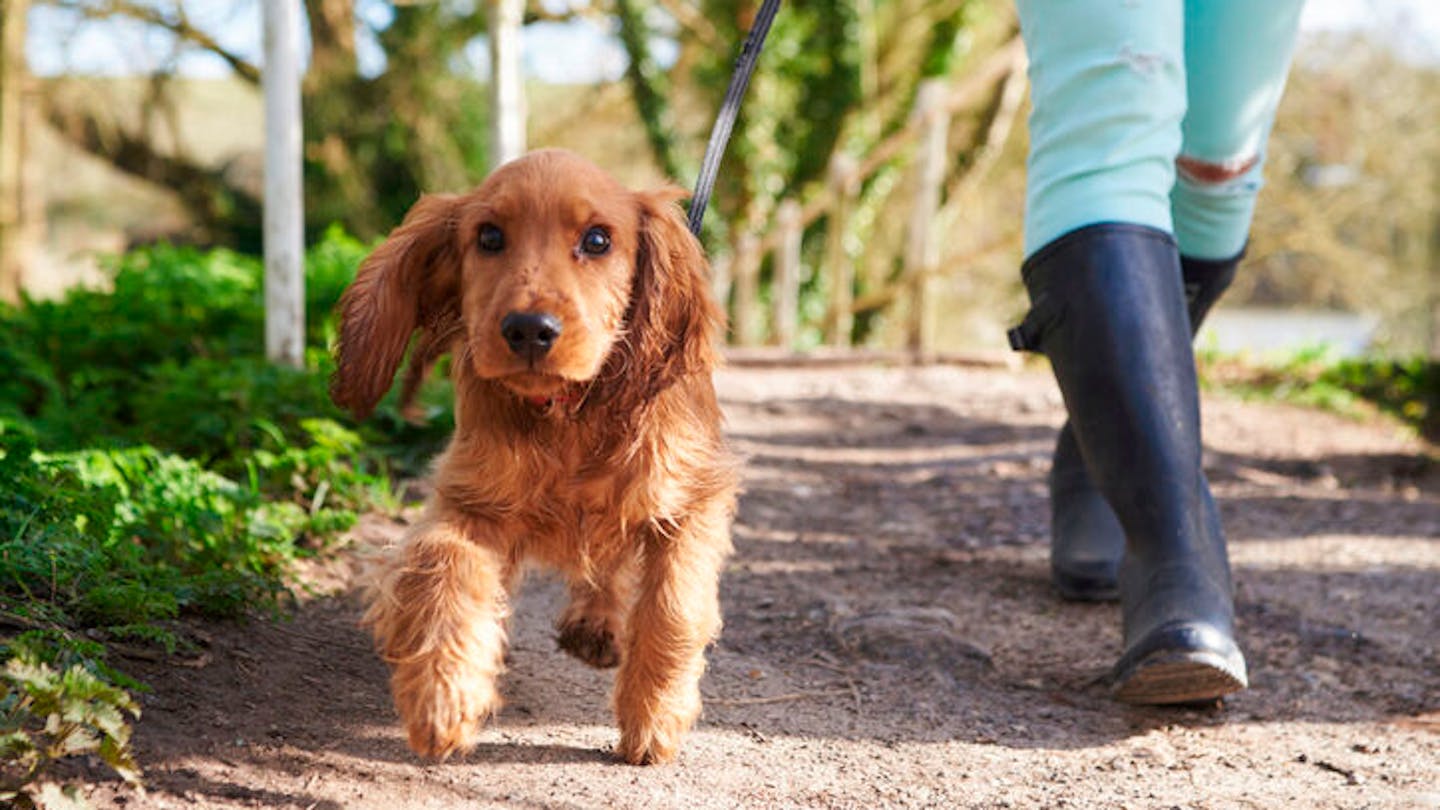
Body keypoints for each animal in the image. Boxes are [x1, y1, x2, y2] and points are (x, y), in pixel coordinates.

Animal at [329, 148, 737, 760]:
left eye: (597, 240)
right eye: (489, 237)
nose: (528, 330)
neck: (567, 413)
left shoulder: (692, 499)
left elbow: (674, 607)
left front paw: (654, 720)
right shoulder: (470, 501)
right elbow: (441, 566)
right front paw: (442, 695)